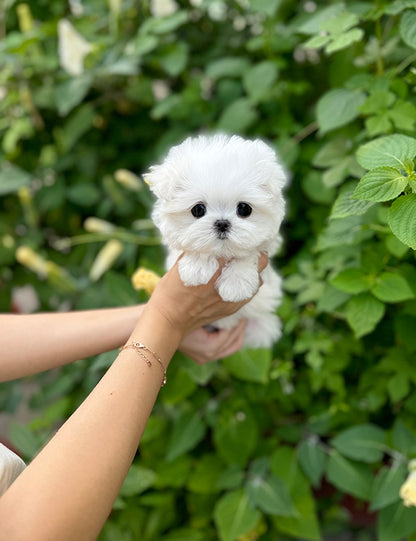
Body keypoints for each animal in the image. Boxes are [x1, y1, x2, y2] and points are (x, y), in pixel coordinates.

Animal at [145, 133, 286, 348]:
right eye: (198, 209)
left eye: (244, 208)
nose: (222, 223)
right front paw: (197, 267)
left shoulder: (267, 244)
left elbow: (249, 253)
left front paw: (236, 283)